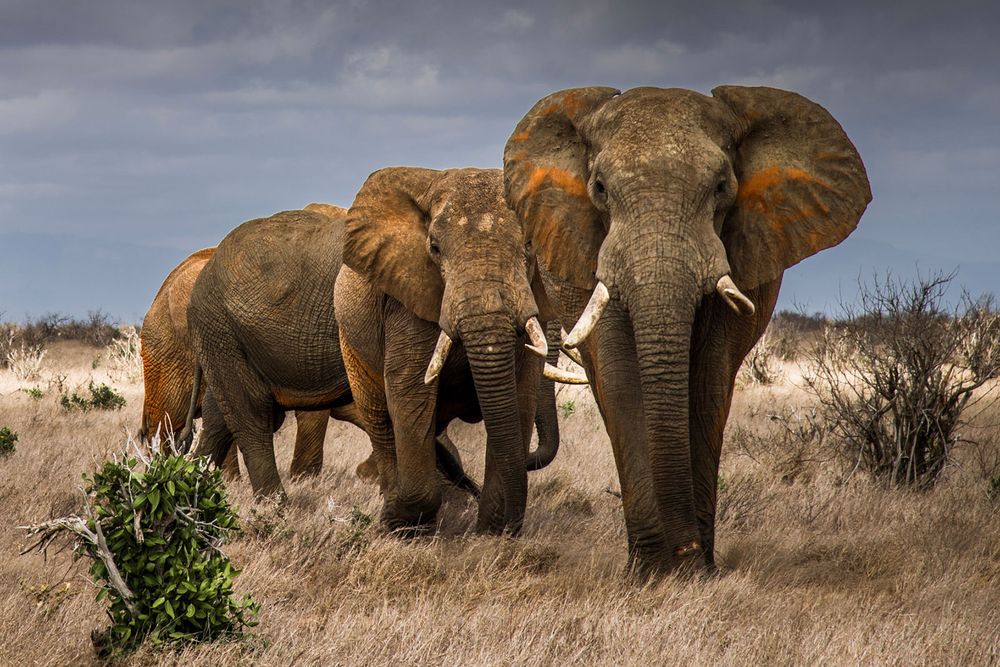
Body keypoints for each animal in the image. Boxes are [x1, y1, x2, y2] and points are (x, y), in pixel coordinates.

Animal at [336, 167, 585, 535]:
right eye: (434, 248)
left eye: (529, 245)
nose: (508, 527)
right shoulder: (408, 301)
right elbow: (411, 392)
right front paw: (398, 523)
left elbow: (519, 398)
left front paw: (492, 534)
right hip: (350, 343)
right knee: (380, 420)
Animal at [503, 85, 871, 573]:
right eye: (599, 189)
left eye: (721, 188)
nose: (686, 551)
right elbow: (622, 383)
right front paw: (651, 573)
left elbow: (709, 381)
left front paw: (696, 572)